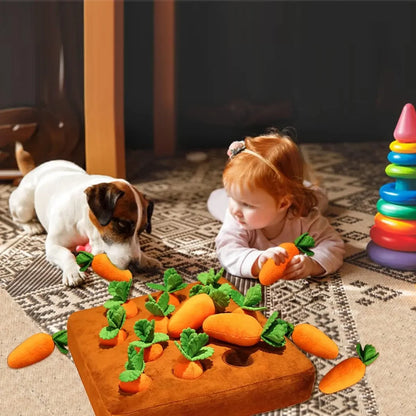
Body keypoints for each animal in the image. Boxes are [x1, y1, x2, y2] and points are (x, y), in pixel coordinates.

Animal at [8, 143, 161, 286]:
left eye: (142, 230)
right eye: (122, 224)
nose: (134, 264)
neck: (84, 226)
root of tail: (36, 168)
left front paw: (146, 258)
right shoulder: (53, 245)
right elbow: (65, 254)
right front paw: (73, 271)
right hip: (24, 205)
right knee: (18, 219)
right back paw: (31, 226)